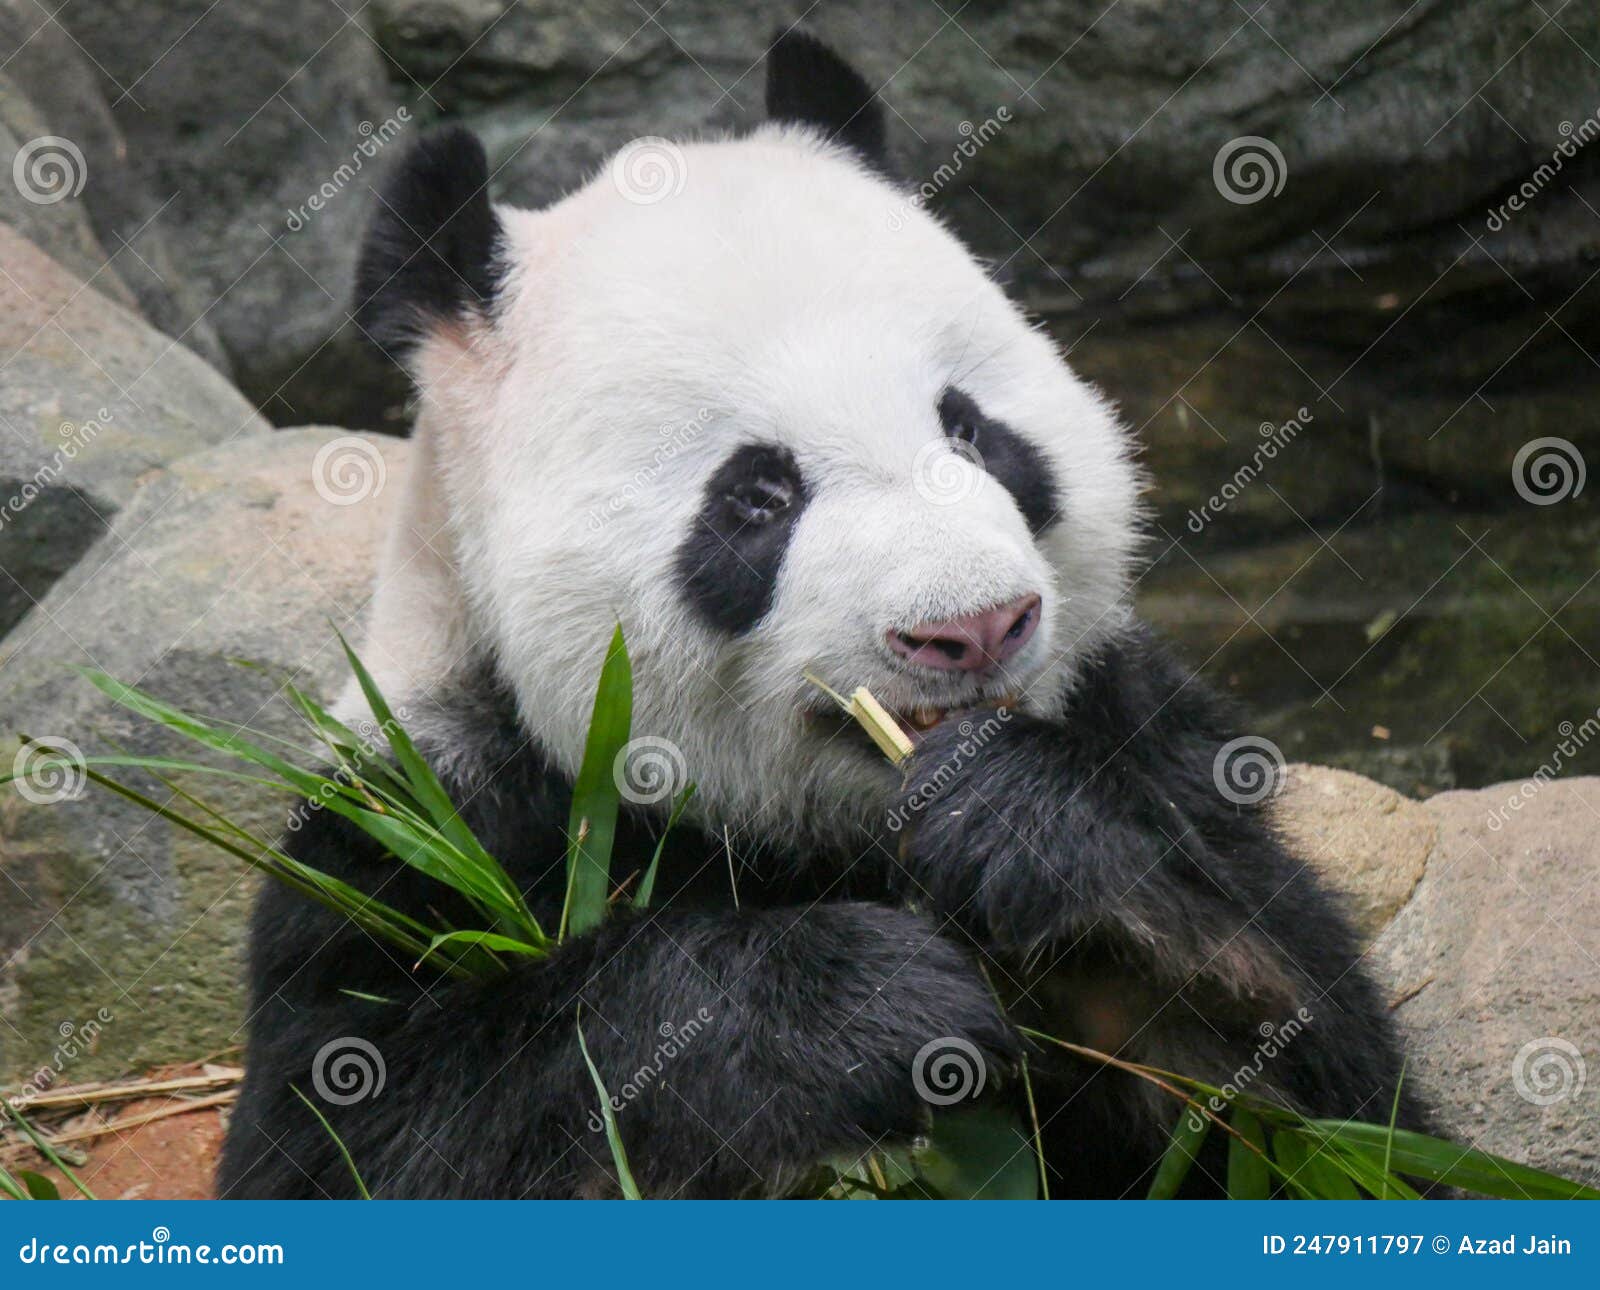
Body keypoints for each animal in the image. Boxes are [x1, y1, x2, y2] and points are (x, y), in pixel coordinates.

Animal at [216, 30, 1427, 1203]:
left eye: (970, 430)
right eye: (758, 495)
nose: (976, 628)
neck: (821, 832)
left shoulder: (1149, 730)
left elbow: (1338, 1122)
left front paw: (1037, 841)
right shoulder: (418, 813)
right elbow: (362, 1131)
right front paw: (850, 1009)